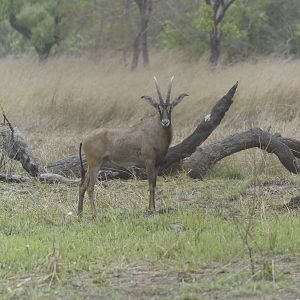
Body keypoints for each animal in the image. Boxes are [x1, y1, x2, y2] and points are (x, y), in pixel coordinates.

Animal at [78, 77, 189, 218]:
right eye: (158, 108)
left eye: (171, 107)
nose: (165, 122)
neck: (154, 131)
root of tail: (85, 139)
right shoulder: (148, 161)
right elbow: (150, 184)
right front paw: (150, 210)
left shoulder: (157, 164)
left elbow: (154, 184)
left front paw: (154, 208)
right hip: (95, 164)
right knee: (90, 187)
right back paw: (94, 214)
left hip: (92, 165)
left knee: (82, 185)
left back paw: (79, 213)